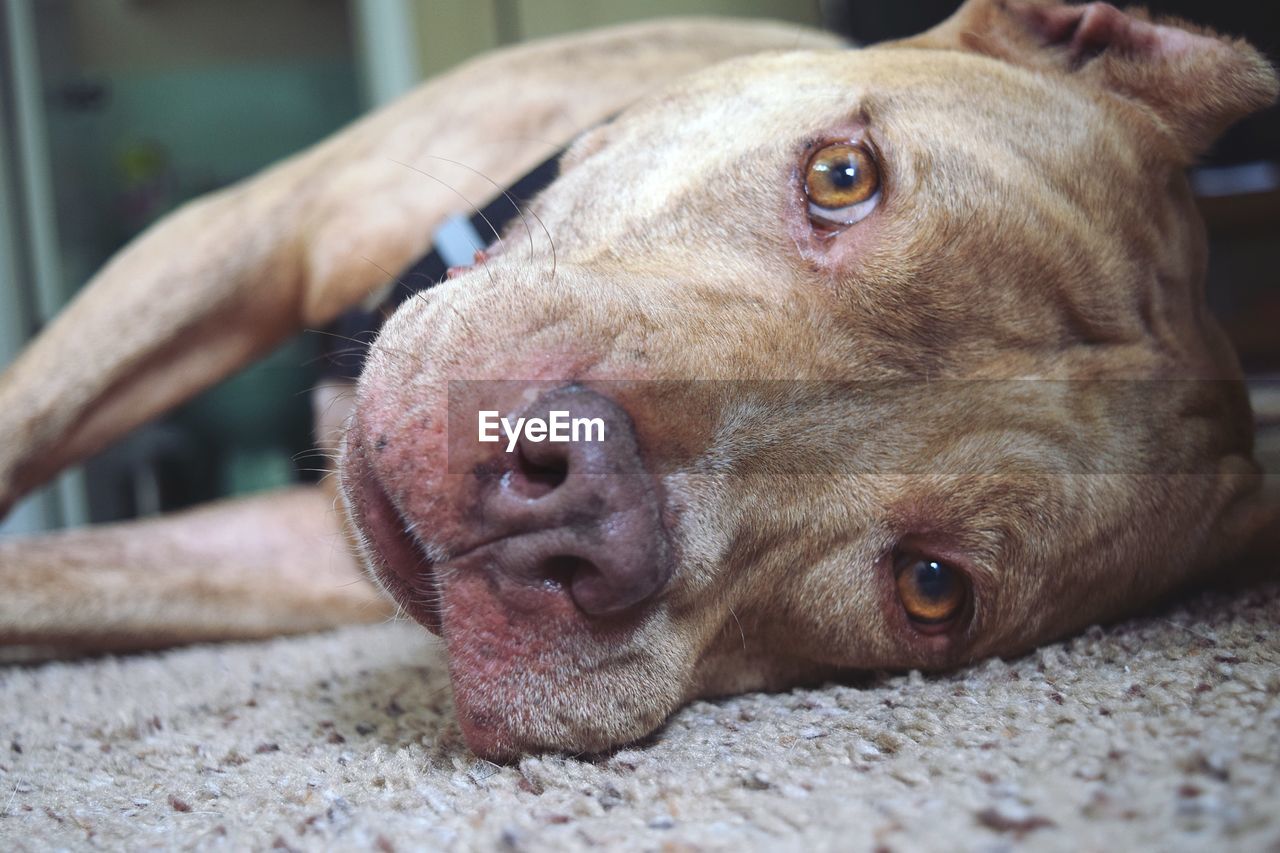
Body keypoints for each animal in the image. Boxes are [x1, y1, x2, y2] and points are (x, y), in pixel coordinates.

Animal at [2, 0, 1280, 758]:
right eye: (843, 174)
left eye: (929, 588)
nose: (574, 504)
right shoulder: (240, 231)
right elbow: (29, 421)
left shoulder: (300, 554)